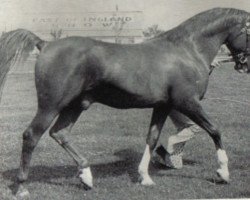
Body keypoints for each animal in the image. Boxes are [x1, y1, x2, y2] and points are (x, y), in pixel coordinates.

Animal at [0, 7, 249, 198]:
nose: (243, 65)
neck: (187, 50)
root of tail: (45, 44)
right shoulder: (188, 102)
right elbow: (215, 130)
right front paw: (223, 173)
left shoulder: (163, 106)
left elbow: (152, 138)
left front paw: (145, 177)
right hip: (50, 105)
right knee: (31, 135)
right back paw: (22, 188)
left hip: (76, 105)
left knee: (59, 133)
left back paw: (86, 176)